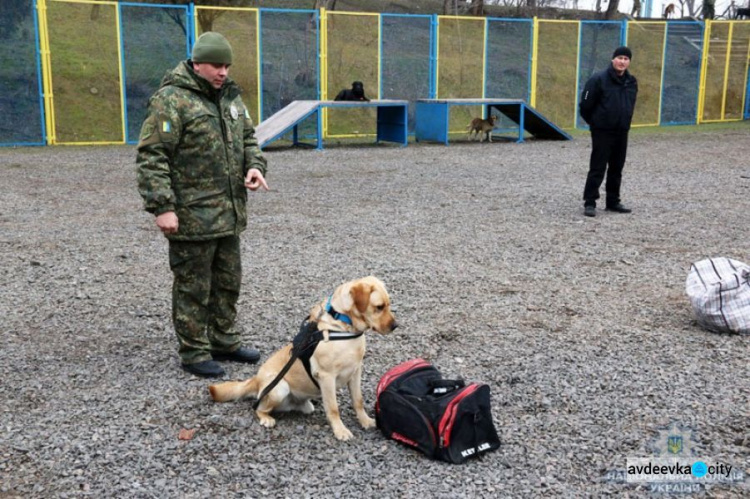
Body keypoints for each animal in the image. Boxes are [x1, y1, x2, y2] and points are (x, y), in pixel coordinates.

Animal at [210, 278, 400, 442]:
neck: (343, 326)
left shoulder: (355, 371)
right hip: (279, 387)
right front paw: (340, 430)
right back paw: (266, 418)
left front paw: (365, 421)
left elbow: (358, 401)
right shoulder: (326, 376)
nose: (395, 326)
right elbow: (333, 408)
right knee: (258, 408)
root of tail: (256, 379)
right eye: (379, 307)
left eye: (388, 305)